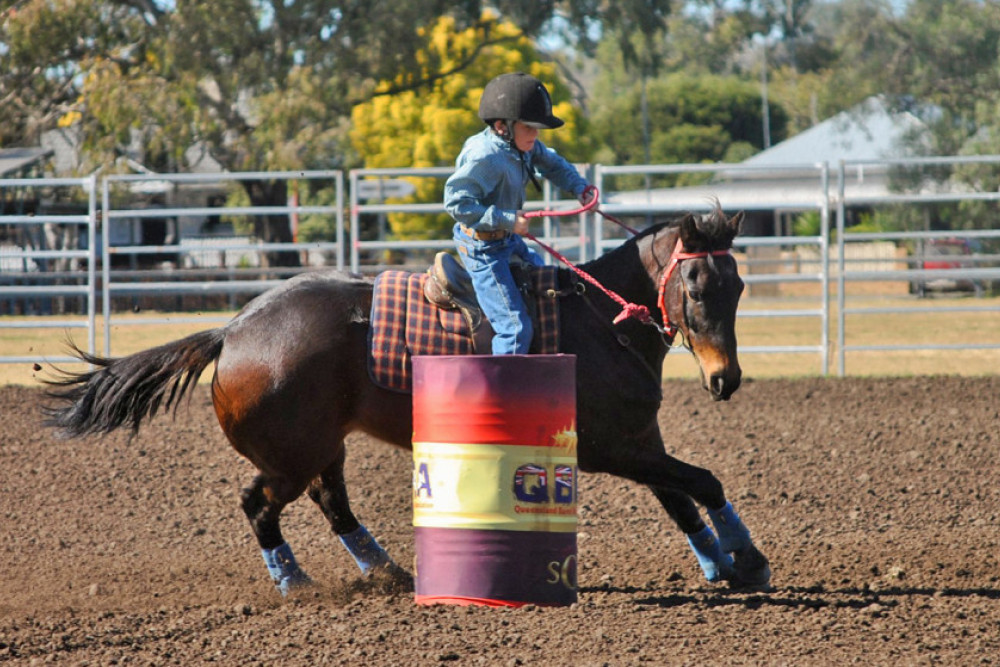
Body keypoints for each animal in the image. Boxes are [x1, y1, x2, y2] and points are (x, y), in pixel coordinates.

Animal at [41, 207, 772, 596]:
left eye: (737, 286)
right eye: (697, 286)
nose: (726, 378)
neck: (600, 323)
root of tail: (233, 331)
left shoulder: (640, 441)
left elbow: (683, 496)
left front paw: (723, 564)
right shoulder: (609, 448)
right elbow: (702, 481)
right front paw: (749, 561)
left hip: (322, 445)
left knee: (333, 502)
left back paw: (391, 573)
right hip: (289, 456)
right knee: (261, 505)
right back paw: (297, 585)